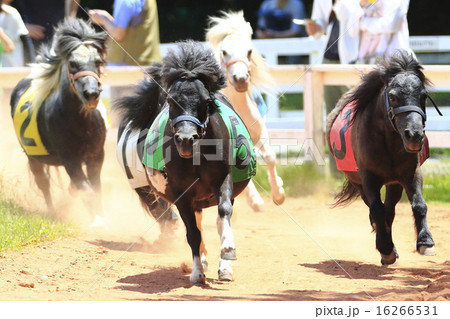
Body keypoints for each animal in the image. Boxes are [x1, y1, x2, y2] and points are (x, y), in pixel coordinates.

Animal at [10, 18, 108, 226]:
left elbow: (95, 187)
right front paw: (96, 221)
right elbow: (85, 188)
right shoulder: (70, 159)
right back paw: (53, 211)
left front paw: (102, 216)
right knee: (44, 183)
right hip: (32, 157)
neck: (80, 123)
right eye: (72, 63)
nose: (92, 94)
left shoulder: (97, 155)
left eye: (97, 61)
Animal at [115, 40, 256, 284]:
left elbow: (224, 212)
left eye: (206, 101)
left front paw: (227, 254)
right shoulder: (182, 194)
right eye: (171, 100)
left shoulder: (223, 179)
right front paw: (197, 271)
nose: (186, 140)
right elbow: (192, 233)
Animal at [205, 10, 284, 212]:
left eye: (249, 51)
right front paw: (255, 201)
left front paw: (278, 194)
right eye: (224, 52)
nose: (240, 79)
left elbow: (270, 157)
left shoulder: (260, 133)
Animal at [326, 52, 442, 264]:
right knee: (376, 209)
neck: (387, 142)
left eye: (423, 96)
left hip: (393, 183)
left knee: (390, 210)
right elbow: (377, 209)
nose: (415, 135)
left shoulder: (410, 173)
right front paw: (385, 248)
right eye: (393, 96)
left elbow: (418, 205)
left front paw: (425, 242)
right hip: (358, 183)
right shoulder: (368, 177)